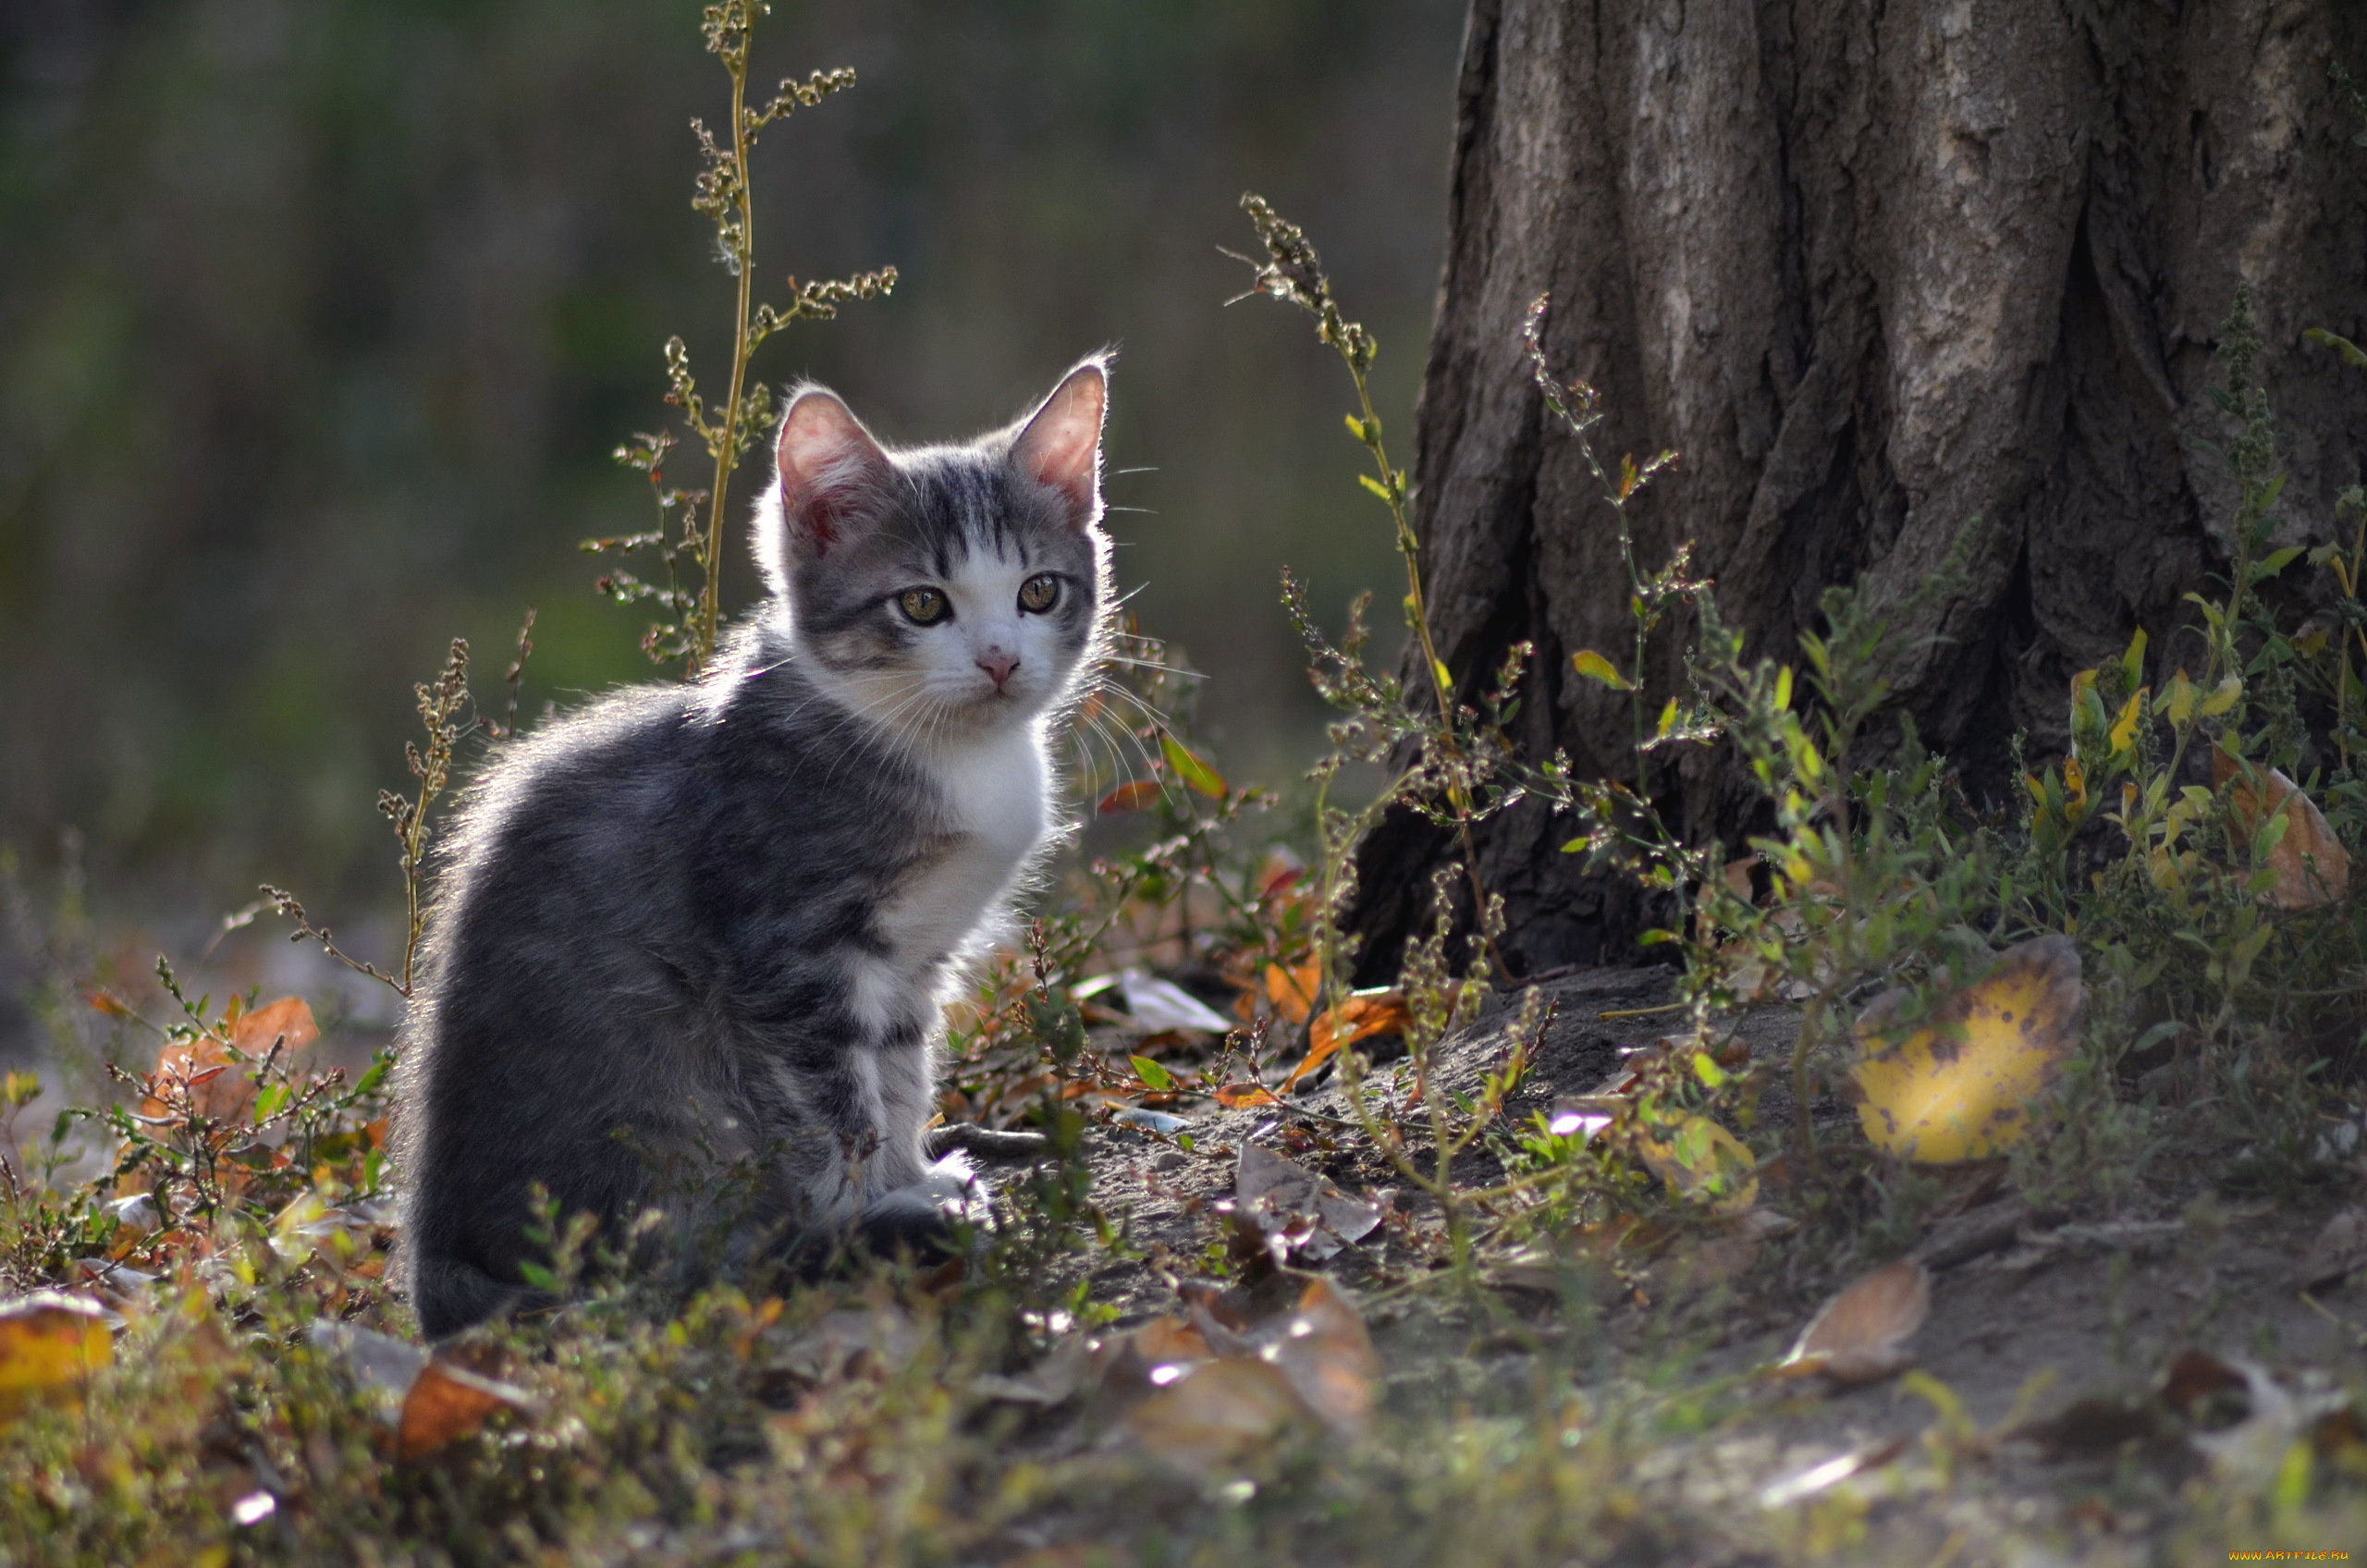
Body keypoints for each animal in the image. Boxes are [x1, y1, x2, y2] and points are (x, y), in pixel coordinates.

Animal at [392, 355, 1112, 1335]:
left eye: (1039, 590)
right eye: (922, 604)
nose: (1001, 659)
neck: (947, 753)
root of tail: (437, 1261)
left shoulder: (910, 962)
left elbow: (897, 1073)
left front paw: (908, 1176)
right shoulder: (788, 951)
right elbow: (835, 1101)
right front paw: (863, 1211)